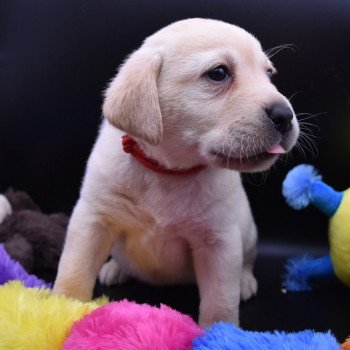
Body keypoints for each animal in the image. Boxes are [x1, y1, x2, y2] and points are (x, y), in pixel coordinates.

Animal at [53, 17, 300, 326]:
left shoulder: (219, 241)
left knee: (246, 262)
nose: (285, 115)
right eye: (219, 73)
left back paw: (244, 282)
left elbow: (220, 300)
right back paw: (116, 268)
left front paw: (219, 332)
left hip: (249, 233)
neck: (168, 171)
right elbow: (74, 272)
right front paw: (63, 314)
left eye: (269, 74)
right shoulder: (92, 220)